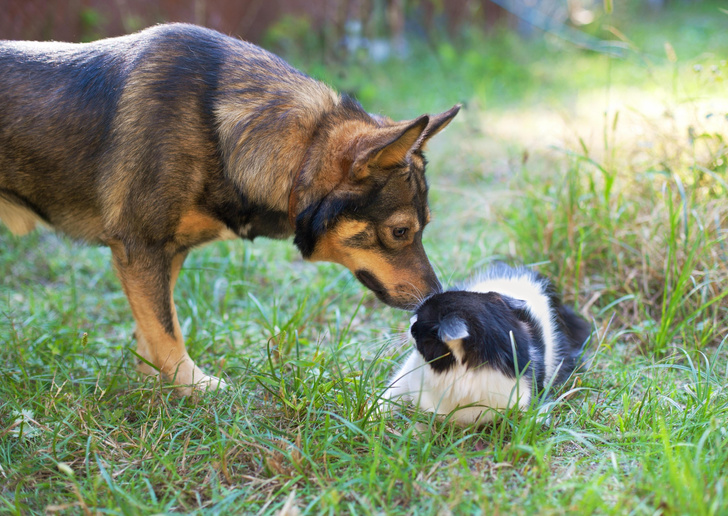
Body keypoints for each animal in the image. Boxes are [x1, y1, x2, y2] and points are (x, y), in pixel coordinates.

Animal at [0, 23, 458, 396]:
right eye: (401, 232)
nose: (434, 300)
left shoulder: (166, 255)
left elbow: (152, 329)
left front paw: (156, 384)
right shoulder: (140, 249)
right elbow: (166, 330)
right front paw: (194, 388)